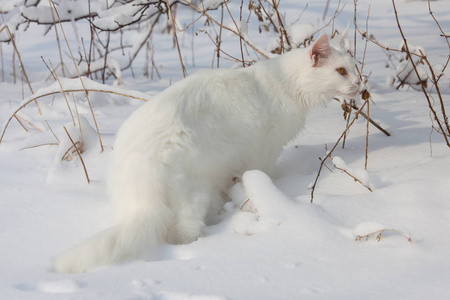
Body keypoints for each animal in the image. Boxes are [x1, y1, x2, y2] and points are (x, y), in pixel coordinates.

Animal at [53, 34, 362, 274]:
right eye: (341, 71)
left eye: (354, 69)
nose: (360, 83)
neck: (286, 85)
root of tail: (139, 181)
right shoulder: (263, 151)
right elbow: (263, 176)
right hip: (193, 195)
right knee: (183, 233)